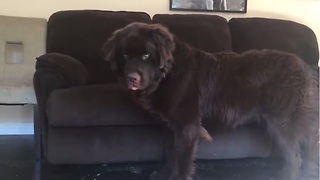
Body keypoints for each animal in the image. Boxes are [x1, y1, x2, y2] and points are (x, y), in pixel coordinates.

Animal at [102, 22, 318, 180]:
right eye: (125, 55)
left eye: (146, 55)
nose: (132, 78)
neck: (168, 74)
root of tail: (305, 67)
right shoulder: (174, 127)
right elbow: (172, 155)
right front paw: (163, 175)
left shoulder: (187, 126)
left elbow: (182, 160)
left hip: (282, 123)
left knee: (295, 157)